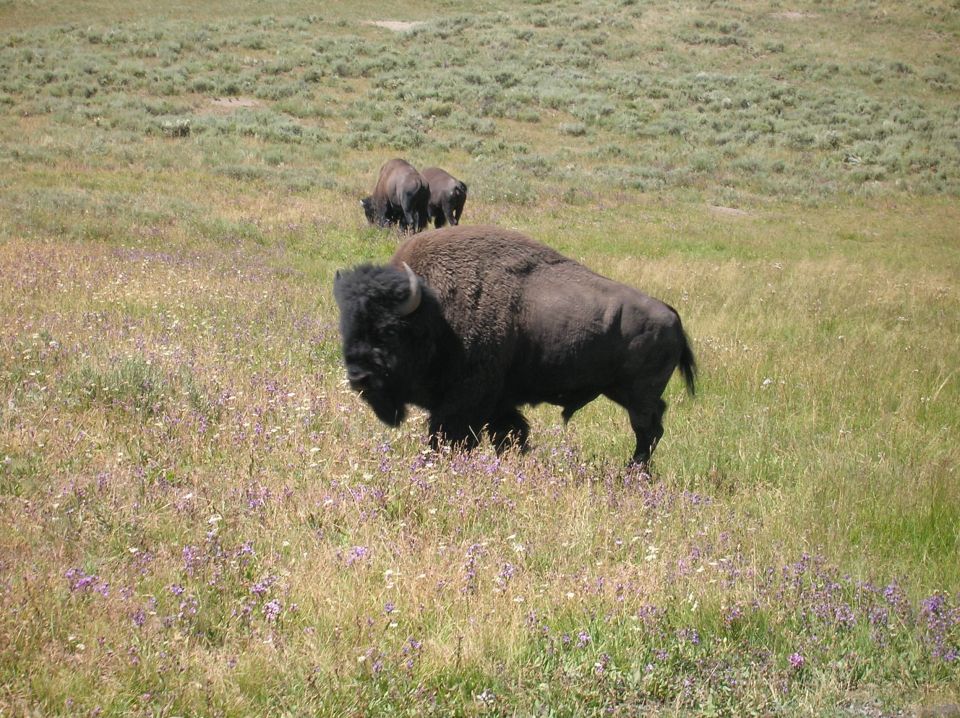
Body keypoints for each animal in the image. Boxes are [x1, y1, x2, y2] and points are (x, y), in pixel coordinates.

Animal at [333, 225, 696, 465]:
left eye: (389, 330)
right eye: (347, 325)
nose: (358, 376)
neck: (434, 312)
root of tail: (672, 315)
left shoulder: (465, 401)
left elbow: (452, 434)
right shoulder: (498, 403)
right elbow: (509, 433)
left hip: (637, 393)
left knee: (647, 429)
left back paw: (633, 471)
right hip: (621, 390)